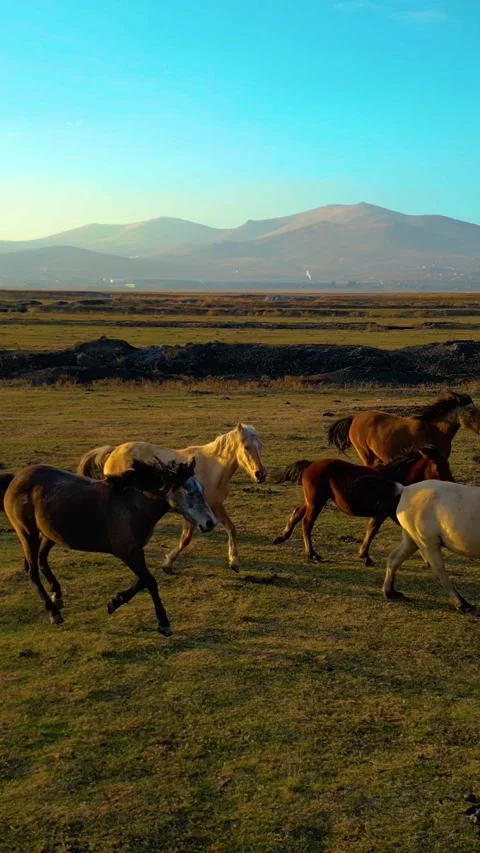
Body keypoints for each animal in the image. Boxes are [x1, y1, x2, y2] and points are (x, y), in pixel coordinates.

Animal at [4, 457, 216, 635]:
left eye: (203, 489)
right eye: (189, 492)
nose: (210, 523)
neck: (132, 505)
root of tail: (16, 479)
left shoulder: (136, 550)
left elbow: (143, 580)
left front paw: (115, 602)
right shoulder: (127, 552)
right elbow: (150, 581)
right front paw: (163, 623)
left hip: (50, 534)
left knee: (41, 559)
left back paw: (57, 594)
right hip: (28, 534)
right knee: (32, 571)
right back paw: (53, 612)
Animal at [78, 425, 267, 573]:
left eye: (260, 446)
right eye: (246, 447)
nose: (261, 475)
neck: (211, 468)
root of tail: (114, 452)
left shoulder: (214, 506)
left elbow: (231, 528)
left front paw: (234, 562)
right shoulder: (193, 512)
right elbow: (186, 539)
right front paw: (167, 564)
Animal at [272, 447, 453, 564]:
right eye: (437, 465)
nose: (451, 482)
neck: (395, 478)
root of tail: (310, 464)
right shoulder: (385, 513)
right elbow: (373, 530)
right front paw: (365, 556)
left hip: (312, 501)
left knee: (297, 512)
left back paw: (282, 537)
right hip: (316, 503)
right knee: (307, 523)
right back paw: (312, 554)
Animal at [349, 476, 480, 615]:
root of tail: (405, 490)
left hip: (411, 540)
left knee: (394, 559)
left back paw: (390, 592)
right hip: (427, 542)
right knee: (439, 571)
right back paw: (463, 604)